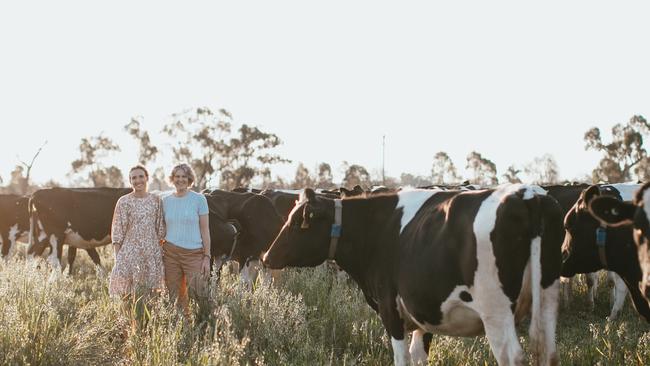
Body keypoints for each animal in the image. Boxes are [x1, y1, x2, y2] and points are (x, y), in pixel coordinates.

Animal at [264, 186, 560, 366]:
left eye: (296, 223)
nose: (267, 256)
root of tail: (528, 194)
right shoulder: (423, 312)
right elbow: (418, 357)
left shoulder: (389, 307)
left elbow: (401, 358)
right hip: (546, 300)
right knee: (549, 352)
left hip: (495, 310)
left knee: (512, 356)